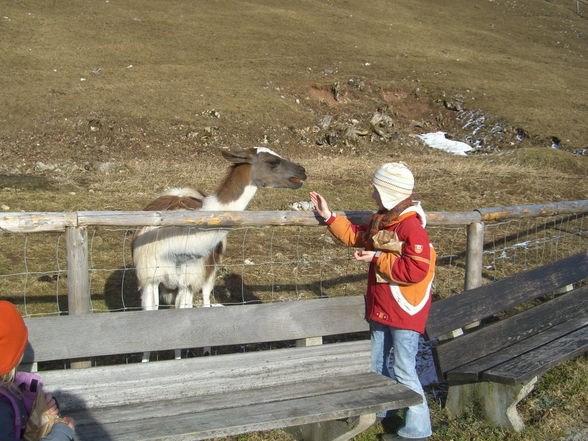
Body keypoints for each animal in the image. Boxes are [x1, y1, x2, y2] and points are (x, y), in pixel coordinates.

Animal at [132, 150, 308, 314]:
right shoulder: (149, 279)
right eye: (272, 161)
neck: (176, 246)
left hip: (210, 268)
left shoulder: (189, 280)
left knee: (206, 296)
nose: (302, 170)